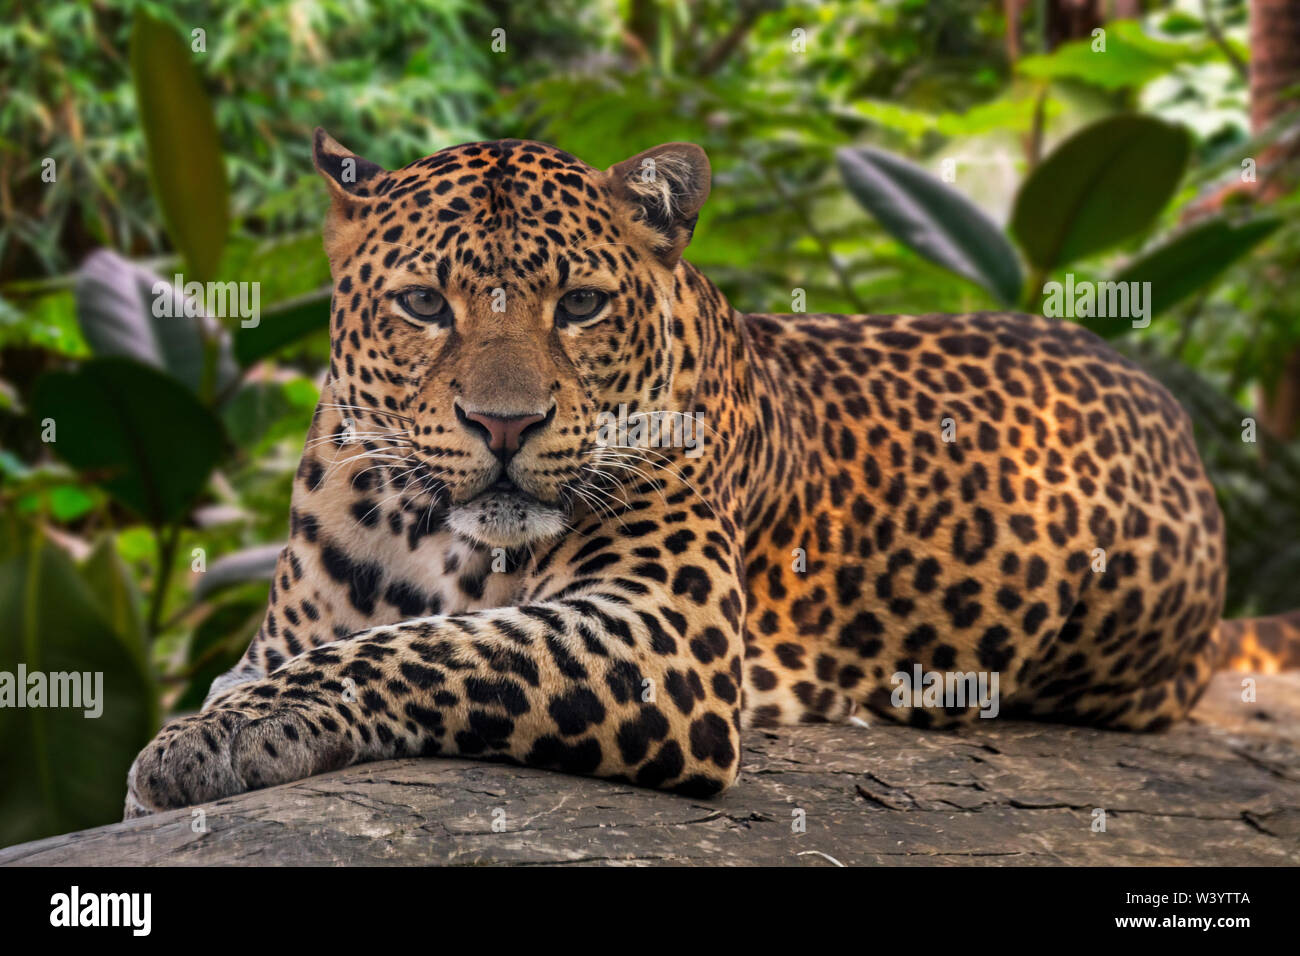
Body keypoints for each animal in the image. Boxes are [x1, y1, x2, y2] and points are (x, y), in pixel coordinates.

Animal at [124, 127, 1300, 816]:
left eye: (580, 304)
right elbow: (332, 646)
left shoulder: (662, 629)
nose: (504, 424)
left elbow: (426, 647)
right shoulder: (291, 626)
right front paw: (216, 718)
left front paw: (218, 736)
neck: (428, 531)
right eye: (422, 304)